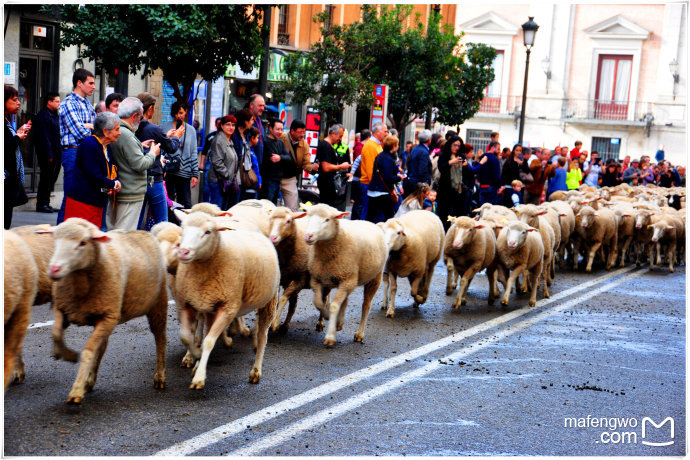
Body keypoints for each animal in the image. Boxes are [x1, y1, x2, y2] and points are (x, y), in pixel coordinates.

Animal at [41, 218, 168, 402]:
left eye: (82, 243)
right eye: (55, 240)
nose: (54, 269)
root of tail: (144, 231)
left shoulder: (107, 316)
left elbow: (88, 351)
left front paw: (76, 390)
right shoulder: (63, 309)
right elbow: (56, 333)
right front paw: (65, 354)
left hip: (157, 305)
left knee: (160, 339)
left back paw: (160, 376)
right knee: (102, 347)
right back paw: (89, 381)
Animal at [172, 211, 280, 388]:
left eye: (207, 232)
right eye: (182, 228)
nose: (183, 252)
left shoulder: (228, 308)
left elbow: (209, 341)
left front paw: (199, 377)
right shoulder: (189, 304)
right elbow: (187, 336)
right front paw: (195, 355)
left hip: (268, 302)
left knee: (263, 336)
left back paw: (256, 370)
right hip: (209, 307)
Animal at [302, 205, 388, 344]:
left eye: (327, 220)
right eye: (308, 217)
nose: (308, 236)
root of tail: (372, 223)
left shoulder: (346, 280)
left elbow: (334, 306)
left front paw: (330, 336)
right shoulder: (318, 279)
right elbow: (319, 303)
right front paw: (326, 317)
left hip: (371, 278)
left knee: (366, 305)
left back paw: (359, 334)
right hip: (343, 279)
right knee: (342, 299)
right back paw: (338, 322)